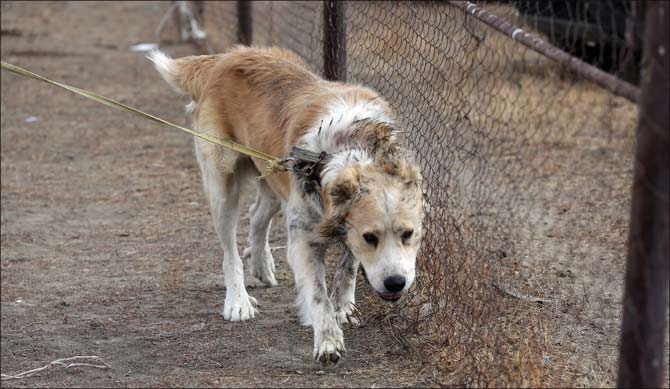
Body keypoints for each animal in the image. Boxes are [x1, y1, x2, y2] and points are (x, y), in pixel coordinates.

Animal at [149, 47, 426, 366]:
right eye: (370, 237)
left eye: (408, 234)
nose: (395, 283)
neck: (348, 149)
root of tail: (227, 57)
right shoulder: (304, 242)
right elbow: (318, 295)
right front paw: (328, 340)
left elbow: (349, 265)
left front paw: (343, 307)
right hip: (222, 187)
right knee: (229, 250)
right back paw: (238, 301)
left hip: (272, 179)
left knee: (256, 215)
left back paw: (262, 265)